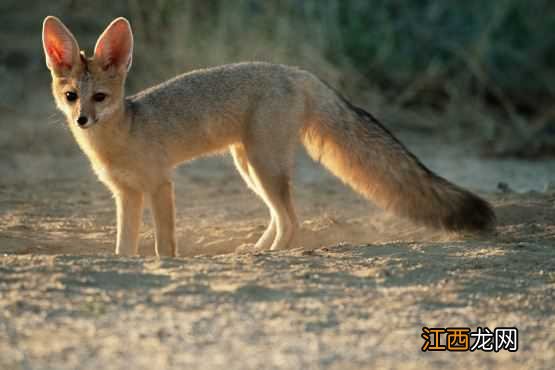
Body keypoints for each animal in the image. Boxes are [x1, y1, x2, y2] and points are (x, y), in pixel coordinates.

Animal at [42, 15, 496, 256]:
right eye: (71, 96)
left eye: (100, 97)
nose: (82, 120)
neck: (122, 135)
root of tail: (295, 71)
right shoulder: (126, 194)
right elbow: (125, 244)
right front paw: (124, 260)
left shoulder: (159, 185)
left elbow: (164, 242)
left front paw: (164, 262)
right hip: (249, 165)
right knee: (281, 218)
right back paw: (259, 250)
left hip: (262, 166)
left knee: (293, 221)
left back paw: (274, 254)